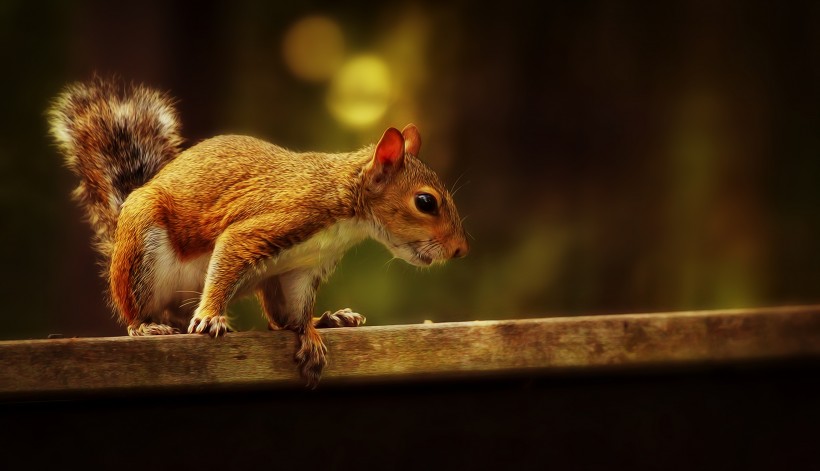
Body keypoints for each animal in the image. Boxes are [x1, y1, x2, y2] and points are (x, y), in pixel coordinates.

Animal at [48, 78, 468, 388]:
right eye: (426, 202)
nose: (460, 250)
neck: (347, 209)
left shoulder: (302, 268)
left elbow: (297, 312)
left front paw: (310, 333)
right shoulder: (271, 223)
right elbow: (230, 255)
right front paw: (211, 317)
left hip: (269, 279)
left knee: (277, 319)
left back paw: (330, 319)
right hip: (141, 254)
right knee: (136, 311)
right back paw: (149, 326)